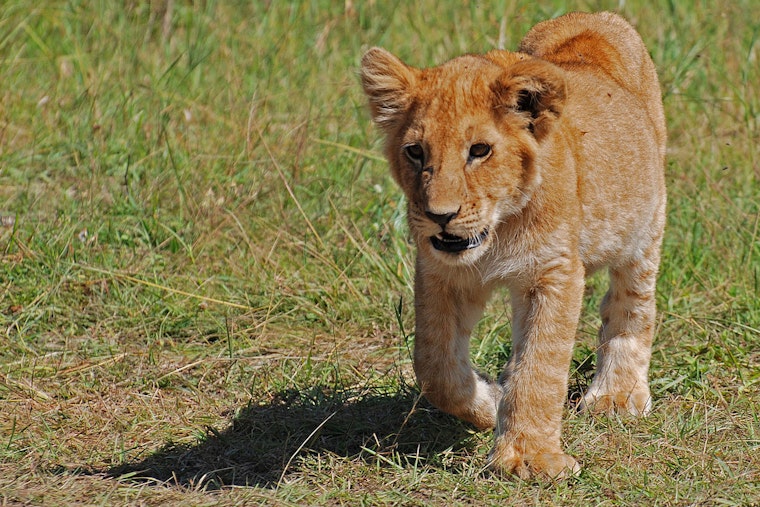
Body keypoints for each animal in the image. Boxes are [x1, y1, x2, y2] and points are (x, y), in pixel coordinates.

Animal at [360, 11, 666, 479]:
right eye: (415, 151)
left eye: (479, 150)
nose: (439, 215)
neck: (498, 230)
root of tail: (594, 16)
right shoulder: (441, 272)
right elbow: (434, 368)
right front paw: (489, 403)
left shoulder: (554, 273)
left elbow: (539, 367)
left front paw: (529, 458)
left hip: (646, 224)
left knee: (631, 303)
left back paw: (617, 395)